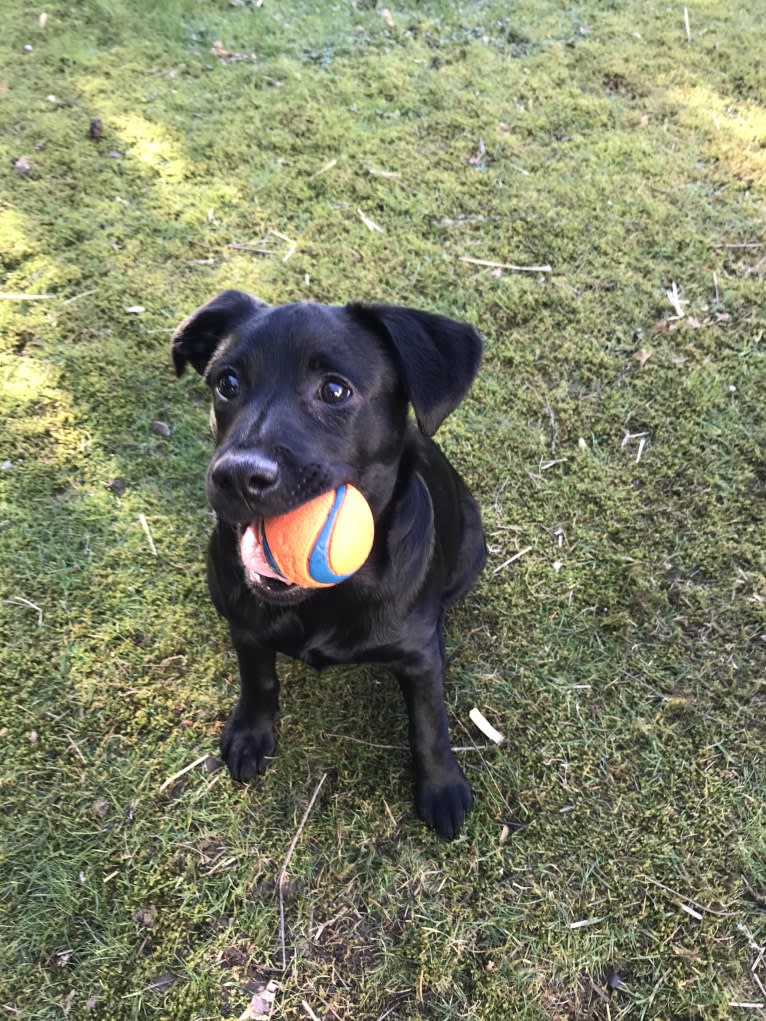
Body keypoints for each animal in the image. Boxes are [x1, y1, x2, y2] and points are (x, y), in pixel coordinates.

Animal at [173, 294, 486, 837]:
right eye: (227, 383)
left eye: (335, 390)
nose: (237, 476)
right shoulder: (245, 625)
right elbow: (258, 678)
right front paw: (251, 731)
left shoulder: (419, 656)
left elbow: (429, 722)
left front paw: (441, 786)